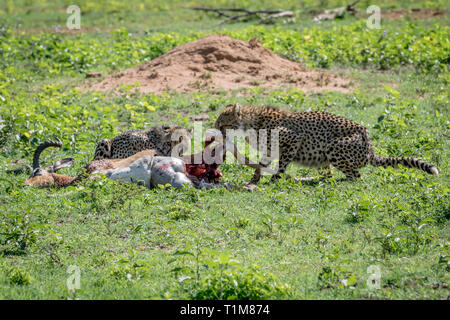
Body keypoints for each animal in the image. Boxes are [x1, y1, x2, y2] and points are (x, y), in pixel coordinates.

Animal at [214, 104, 440, 184]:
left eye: (222, 124)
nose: (215, 130)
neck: (250, 124)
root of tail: (370, 149)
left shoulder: (293, 139)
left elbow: (282, 165)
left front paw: (274, 180)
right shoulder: (270, 150)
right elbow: (262, 164)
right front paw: (254, 179)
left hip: (334, 148)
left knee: (356, 177)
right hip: (323, 159)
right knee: (331, 174)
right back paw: (313, 179)